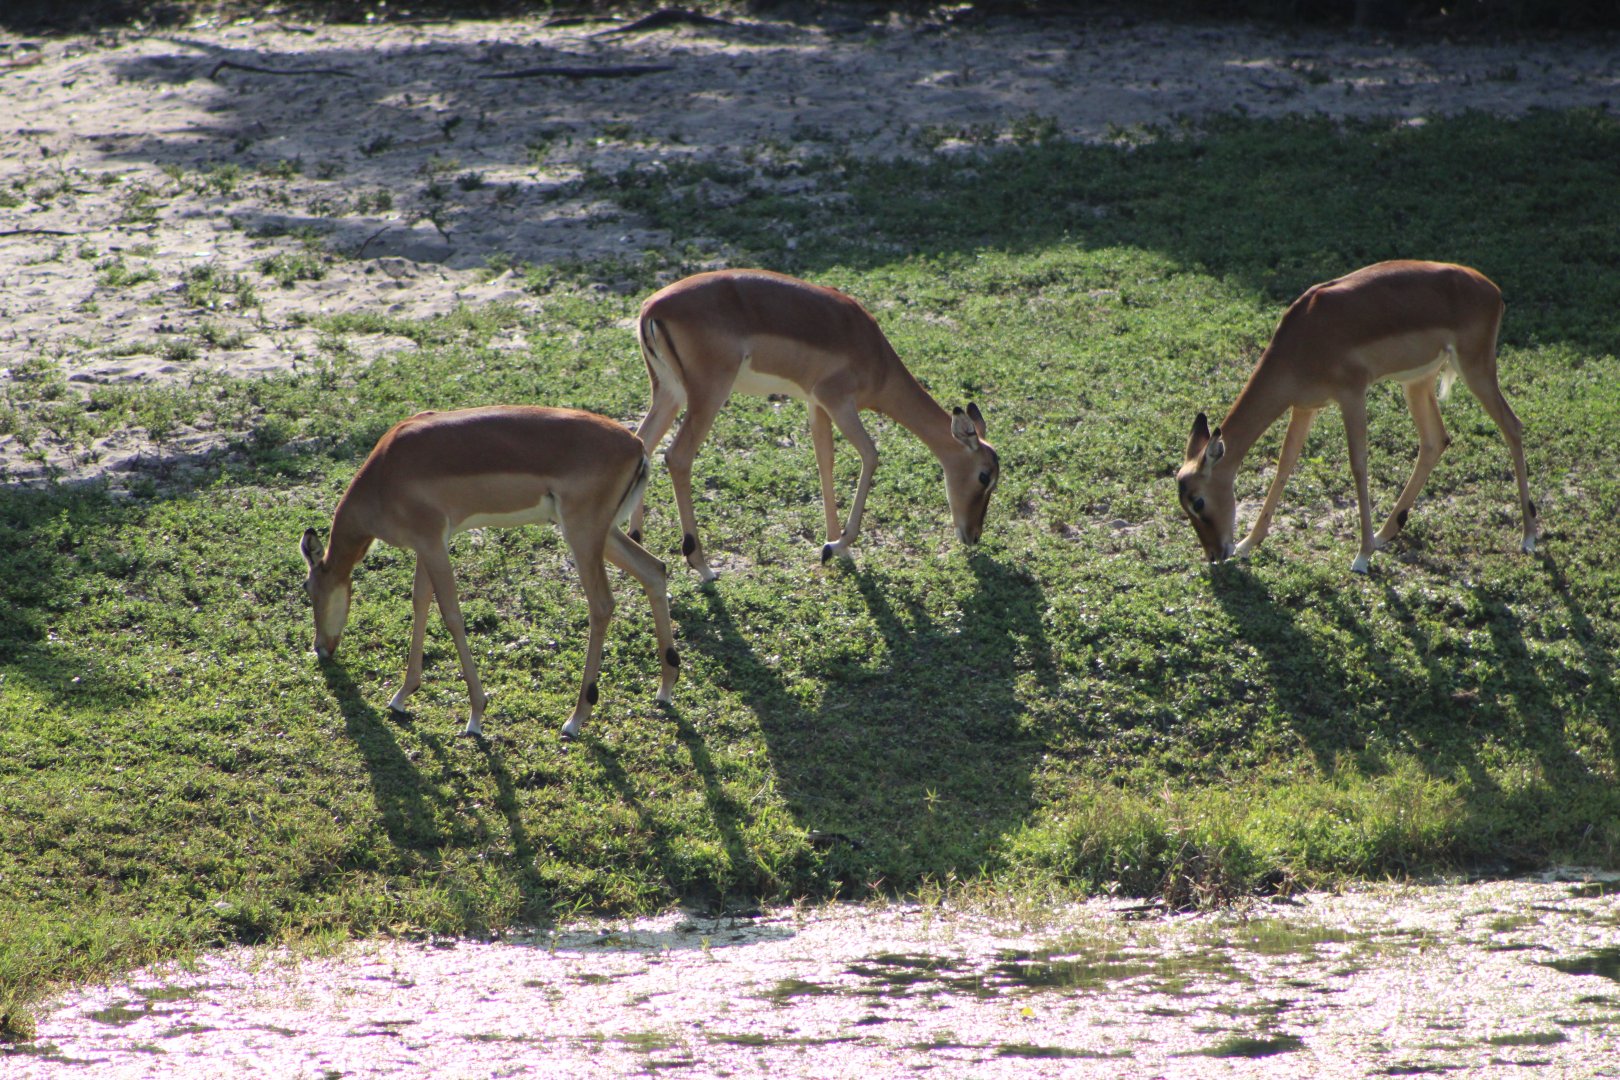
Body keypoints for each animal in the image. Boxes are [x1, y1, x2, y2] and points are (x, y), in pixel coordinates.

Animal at [299, 405, 679, 738]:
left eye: (308, 588)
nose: (320, 648)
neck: (386, 470)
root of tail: (636, 446)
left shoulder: (433, 544)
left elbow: (452, 615)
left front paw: (476, 716)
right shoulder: (427, 545)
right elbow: (420, 604)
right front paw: (401, 696)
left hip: (582, 534)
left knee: (602, 604)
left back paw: (575, 719)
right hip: (602, 534)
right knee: (654, 569)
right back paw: (665, 688)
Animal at [628, 269, 999, 580]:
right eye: (985, 476)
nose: (973, 535)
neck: (876, 356)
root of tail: (652, 308)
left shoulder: (815, 404)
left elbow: (825, 462)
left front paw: (834, 546)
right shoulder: (837, 401)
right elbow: (871, 455)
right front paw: (836, 545)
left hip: (669, 393)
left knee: (643, 443)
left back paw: (636, 540)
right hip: (708, 394)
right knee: (676, 457)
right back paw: (703, 566)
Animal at [1177, 260, 1539, 574]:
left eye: (1198, 502)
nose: (1215, 554)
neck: (1304, 334)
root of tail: (1492, 290)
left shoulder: (1351, 395)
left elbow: (1358, 465)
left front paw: (1361, 557)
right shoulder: (1304, 406)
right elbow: (1285, 463)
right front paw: (1248, 544)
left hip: (1476, 368)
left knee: (1513, 426)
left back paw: (1528, 538)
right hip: (1417, 382)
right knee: (1436, 440)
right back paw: (1384, 533)